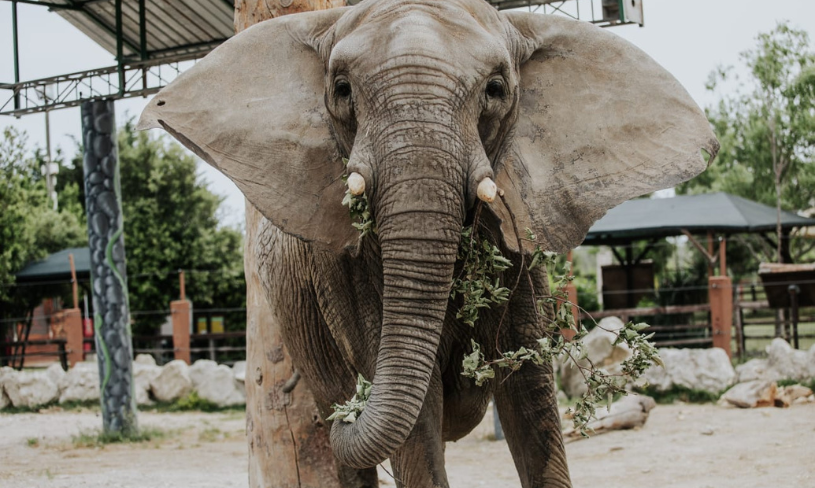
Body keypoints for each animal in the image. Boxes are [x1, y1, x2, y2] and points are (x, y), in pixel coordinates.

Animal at [139, 1, 712, 486]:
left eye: (496, 88)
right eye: (342, 89)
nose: (352, 408)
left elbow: (531, 396)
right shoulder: (351, 275)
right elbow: (420, 418)